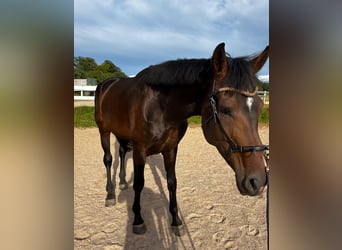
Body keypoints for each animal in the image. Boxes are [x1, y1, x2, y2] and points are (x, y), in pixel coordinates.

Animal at [94, 42, 270, 235]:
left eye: (260, 107)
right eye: (225, 109)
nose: (258, 181)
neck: (160, 106)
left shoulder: (171, 148)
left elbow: (172, 182)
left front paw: (176, 221)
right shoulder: (140, 149)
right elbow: (139, 183)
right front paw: (138, 220)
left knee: (122, 152)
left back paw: (123, 182)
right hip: (103, 131)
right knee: (108, 159)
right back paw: (110, 194)